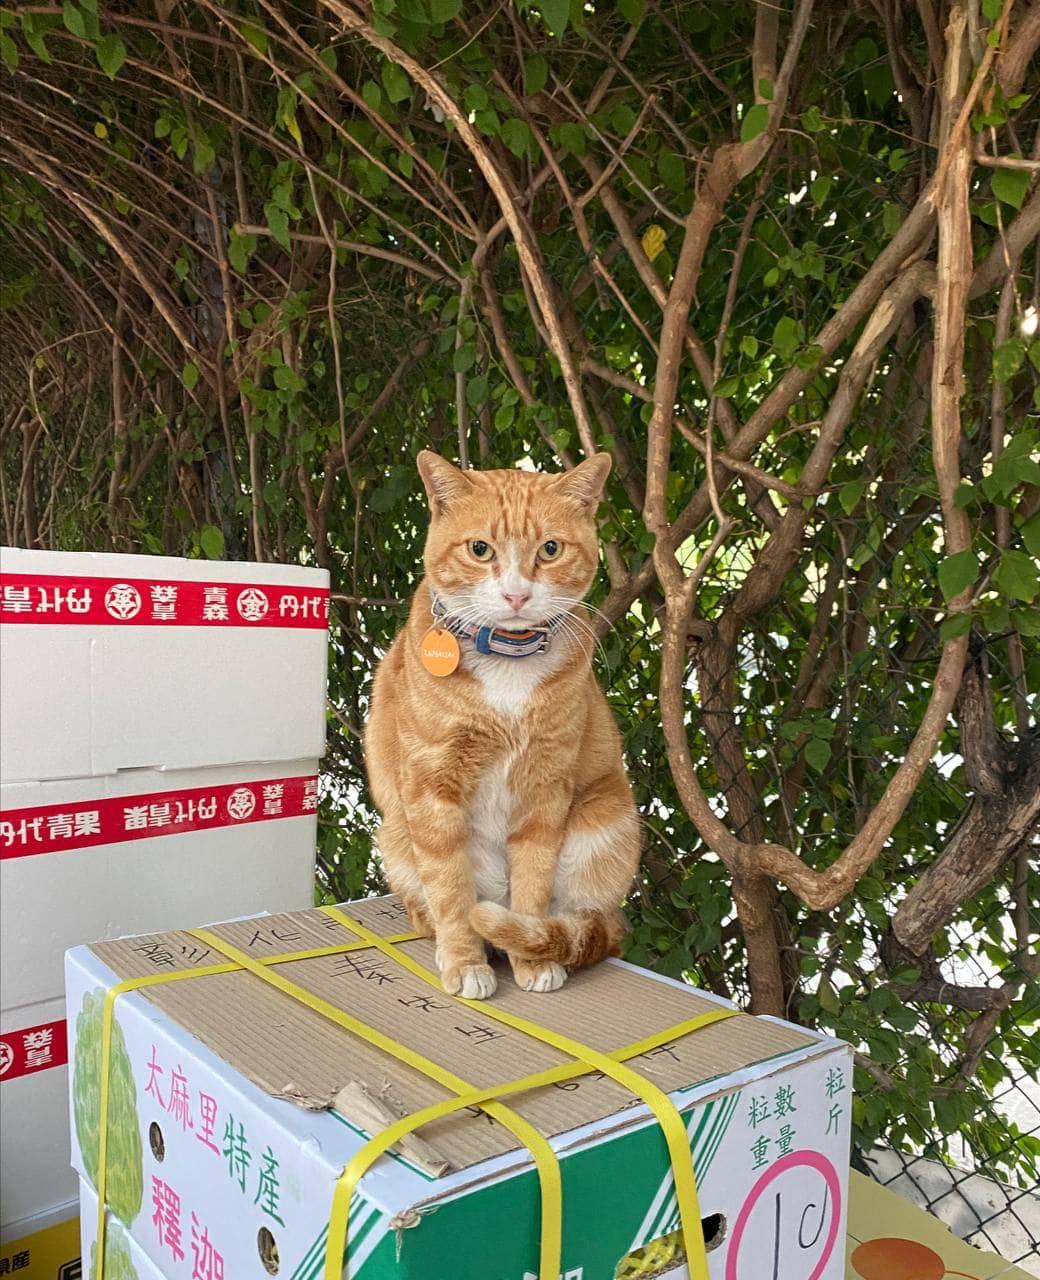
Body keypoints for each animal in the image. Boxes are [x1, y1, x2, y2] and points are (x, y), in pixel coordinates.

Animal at [364, 451, 641, 999]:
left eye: (551, 549)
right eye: (479, 549)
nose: (516, 594)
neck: (507, 660)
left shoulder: (544, 789)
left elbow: (531, 889)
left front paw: (530, 959)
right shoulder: (432, 788)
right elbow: (451, 890)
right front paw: (464, 960)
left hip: (608, 819)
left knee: (583, 921)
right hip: (395, 833)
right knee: (425, 904)